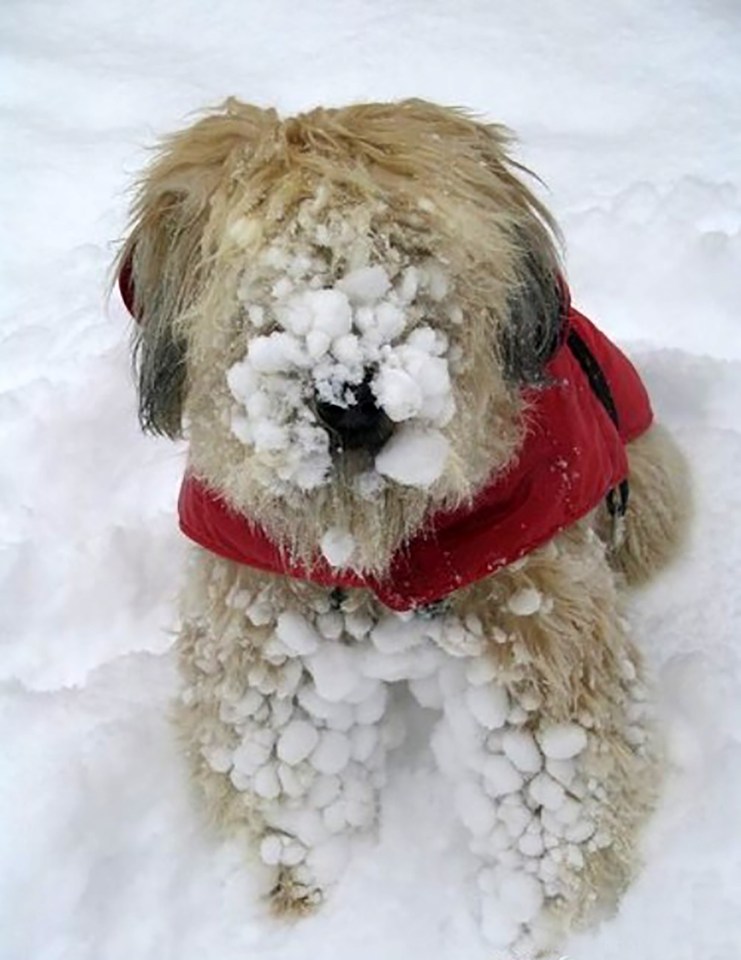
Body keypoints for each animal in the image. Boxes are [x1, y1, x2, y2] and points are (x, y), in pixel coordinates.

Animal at [115, 101, 688, 956]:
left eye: (411, 256)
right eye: (269, 269)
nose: (352, 405)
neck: (379, 544)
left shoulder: (536, 603)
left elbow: (555, 776)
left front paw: (538, 919)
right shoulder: (260, 599)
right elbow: (273, 748)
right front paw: (299, 885)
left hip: (642, 492)